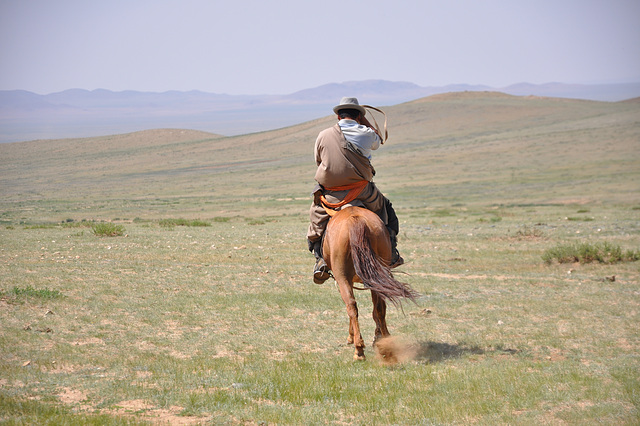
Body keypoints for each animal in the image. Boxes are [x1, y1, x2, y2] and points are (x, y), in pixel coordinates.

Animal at [322, 206, 418, 360]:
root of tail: (355, 219)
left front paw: (351, 337)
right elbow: (377, 309)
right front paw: (377, 336)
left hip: (343, 277)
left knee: (352, 306)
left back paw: (359, 349)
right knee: (377, 307)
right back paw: (384, 341)